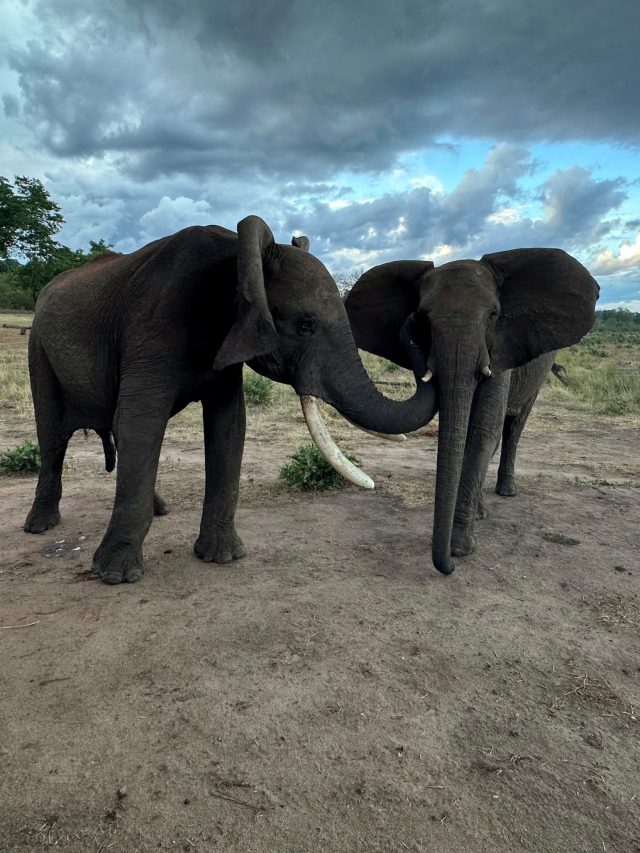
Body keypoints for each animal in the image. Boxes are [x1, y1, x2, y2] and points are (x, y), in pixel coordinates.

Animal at [24, 216, 437, 584]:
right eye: (304, 325)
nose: (417, 322)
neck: (236, 257)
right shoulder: (151, 328)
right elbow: (141, 425)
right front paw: (115, 576)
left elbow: (229, 426)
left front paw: (223, 557)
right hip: (39, 347)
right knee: (53, 435)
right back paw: (40, 526)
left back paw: (160, 509)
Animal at [345, 249, 599, 575]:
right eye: (424, 318)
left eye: (492, 315)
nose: (449, 567)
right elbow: (462, 432)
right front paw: (465, 535)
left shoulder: (502, 348)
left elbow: (482, 431)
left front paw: (460, 550)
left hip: (538, 373)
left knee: (514, 427)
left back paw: (507, 491)